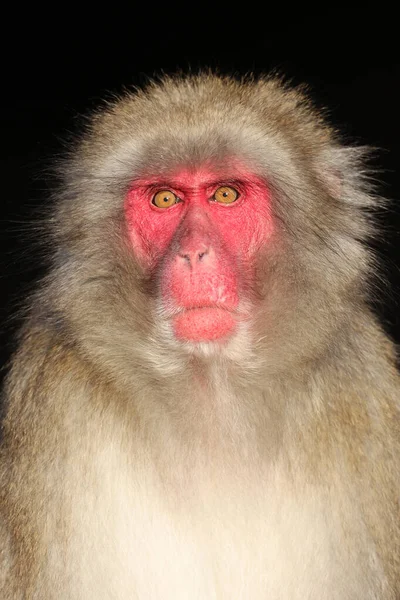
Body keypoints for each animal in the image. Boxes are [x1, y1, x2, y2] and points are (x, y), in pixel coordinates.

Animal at [0, 71, 398, 600]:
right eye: (164, 199)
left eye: (225, 195)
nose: (193, 254)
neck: (212, 387)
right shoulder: (56, 406)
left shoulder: (363, 392)